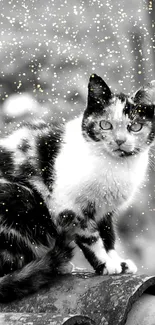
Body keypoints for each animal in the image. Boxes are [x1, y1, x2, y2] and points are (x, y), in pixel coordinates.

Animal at [0, 74, 154, 302]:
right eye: (105, 125)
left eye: (135, 127)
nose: (119, 141)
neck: (116, 167)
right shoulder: (70, 207)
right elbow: (91, 237)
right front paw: (105, 265)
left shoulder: (106, 210)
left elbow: (109, 236)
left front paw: (117, 261)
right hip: (20, 197)